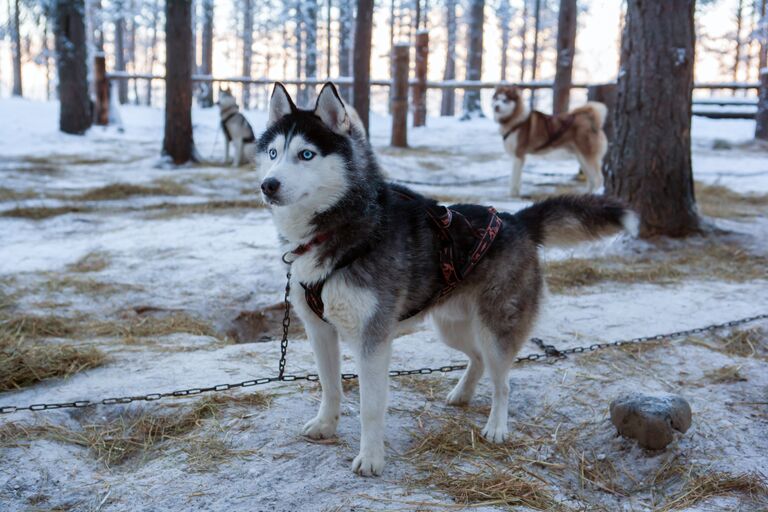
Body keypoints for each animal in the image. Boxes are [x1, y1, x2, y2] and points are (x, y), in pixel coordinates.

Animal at [256, 80, 636, 476]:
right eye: (273, 152)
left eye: (306, 155)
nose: (269, 185)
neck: (336, 227)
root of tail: (515, 220)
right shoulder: (320, 330)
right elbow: (330, 386)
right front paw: (326, 425)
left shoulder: (373, 339)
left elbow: (371, 407)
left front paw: (371, 457)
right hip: (451, 327)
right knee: (478, 359)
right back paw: (462, 394)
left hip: (495, 327)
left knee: (502, 382)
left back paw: (497, 427)